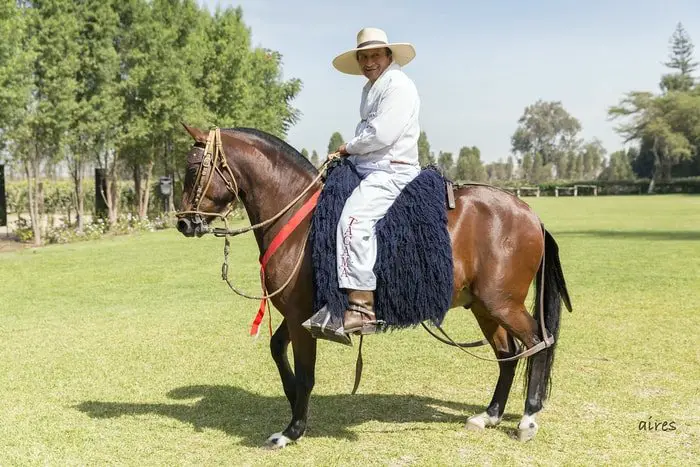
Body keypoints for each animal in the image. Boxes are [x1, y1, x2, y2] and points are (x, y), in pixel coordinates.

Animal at [176, 125, 576, 450]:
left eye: (193, 170)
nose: (183, 224)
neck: (299, 222)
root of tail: (530, 214)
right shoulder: (299, 315)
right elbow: (277, 350)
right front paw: (291, 404)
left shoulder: (303, 318)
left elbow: (306, 375)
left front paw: (292, 431)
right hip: (484, 306)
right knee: (509, 354)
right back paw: (489, 415)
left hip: (502, 303)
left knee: (539, 343)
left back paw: (528, 419)